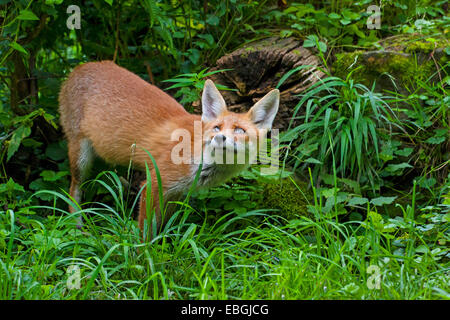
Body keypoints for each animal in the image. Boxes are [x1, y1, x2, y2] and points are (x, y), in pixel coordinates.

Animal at [58, 60, 280, 235]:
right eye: (217, 127)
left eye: (240, 130)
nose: (219, 137)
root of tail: (80, 66)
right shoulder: (153, 183)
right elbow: (145, 232)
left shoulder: (176, 192)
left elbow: (163, 227)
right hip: (80, 157)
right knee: (73, 189)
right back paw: (77, 228)